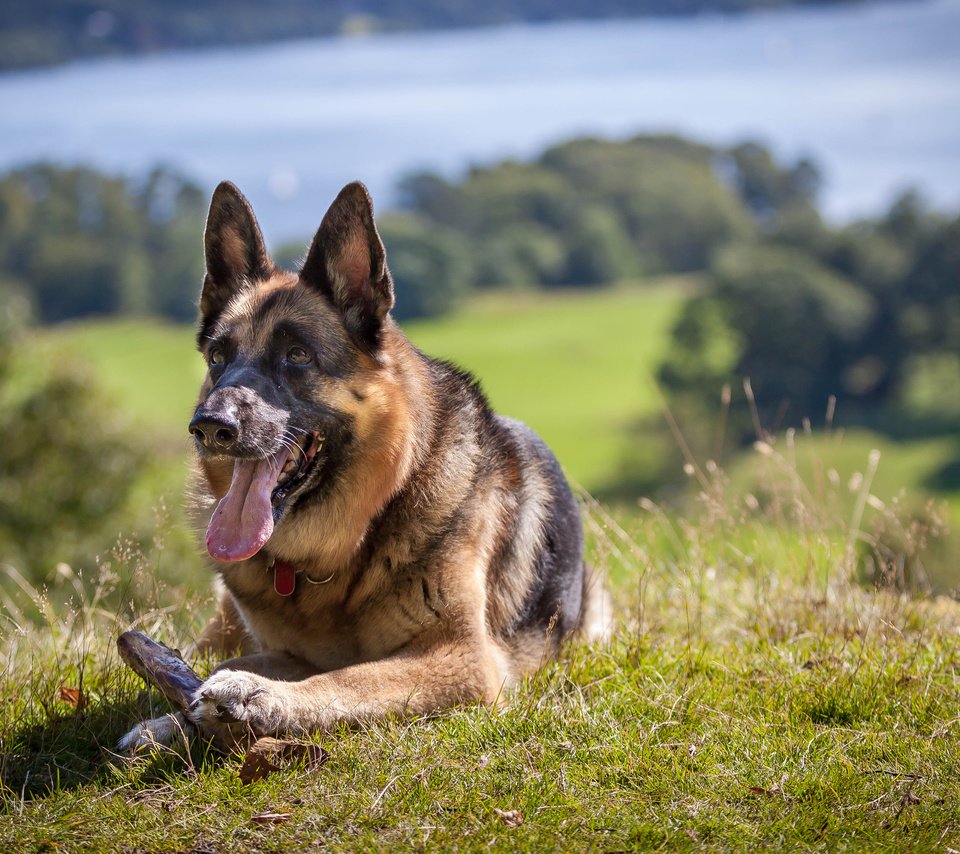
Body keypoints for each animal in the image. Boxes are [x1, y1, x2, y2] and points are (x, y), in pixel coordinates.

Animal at [120, 179, 608, 748]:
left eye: (298, 356)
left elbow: (351, 677)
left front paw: (258, 697)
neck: (337, 556)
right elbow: (246, 666)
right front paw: (171, 719)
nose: (210, 427)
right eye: (218, 357)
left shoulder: (463, 659)